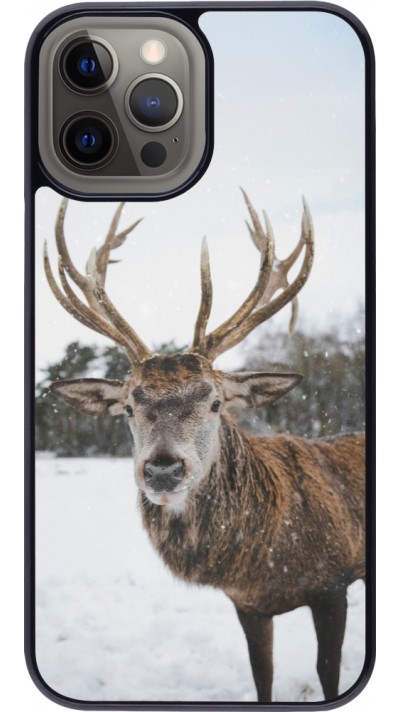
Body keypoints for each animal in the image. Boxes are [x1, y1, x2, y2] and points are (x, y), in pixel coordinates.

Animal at [43, 192, 365, 702]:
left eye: (215, 402)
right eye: (129, 407)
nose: (163, 470)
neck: (266, 558)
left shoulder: (333, 583)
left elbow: (328, 672)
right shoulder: (248, 604)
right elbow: (262, 674)